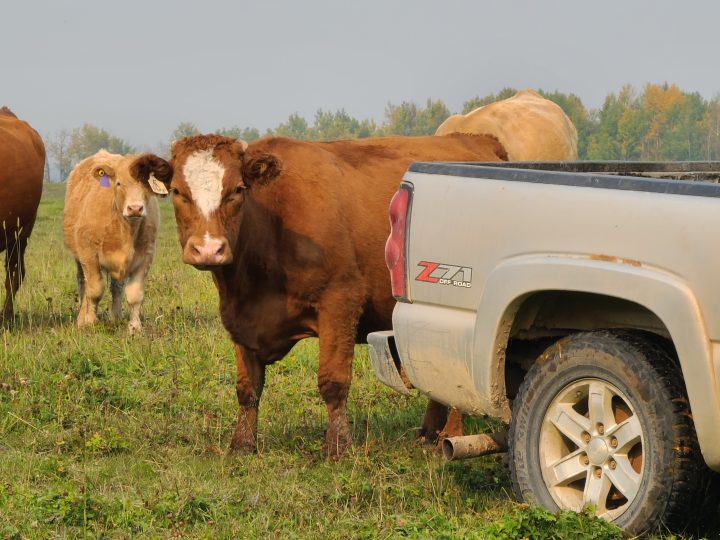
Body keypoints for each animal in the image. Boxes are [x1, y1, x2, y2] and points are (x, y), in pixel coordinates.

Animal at [63, 150, 169, 334]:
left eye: (146, 186)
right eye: (119, 183)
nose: (135, 208)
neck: (126, 229)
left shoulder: (146, 256)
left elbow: (134, 294)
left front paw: (135, 328)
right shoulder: (88, 254)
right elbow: (94, 289)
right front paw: (89, 320)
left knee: (117, 287)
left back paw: (116, 316)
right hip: (78, 257)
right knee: (83, 283)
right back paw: (82, 316)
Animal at [133, 133, 508, 459]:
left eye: (237, 190)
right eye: (178, 192)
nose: (209, 249)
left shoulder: (340, 301)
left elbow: (333, 382)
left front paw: (337, 447)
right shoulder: (238, 318)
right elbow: (247, 388)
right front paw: (241, 445)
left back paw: (450, 435)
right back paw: (429, 432)